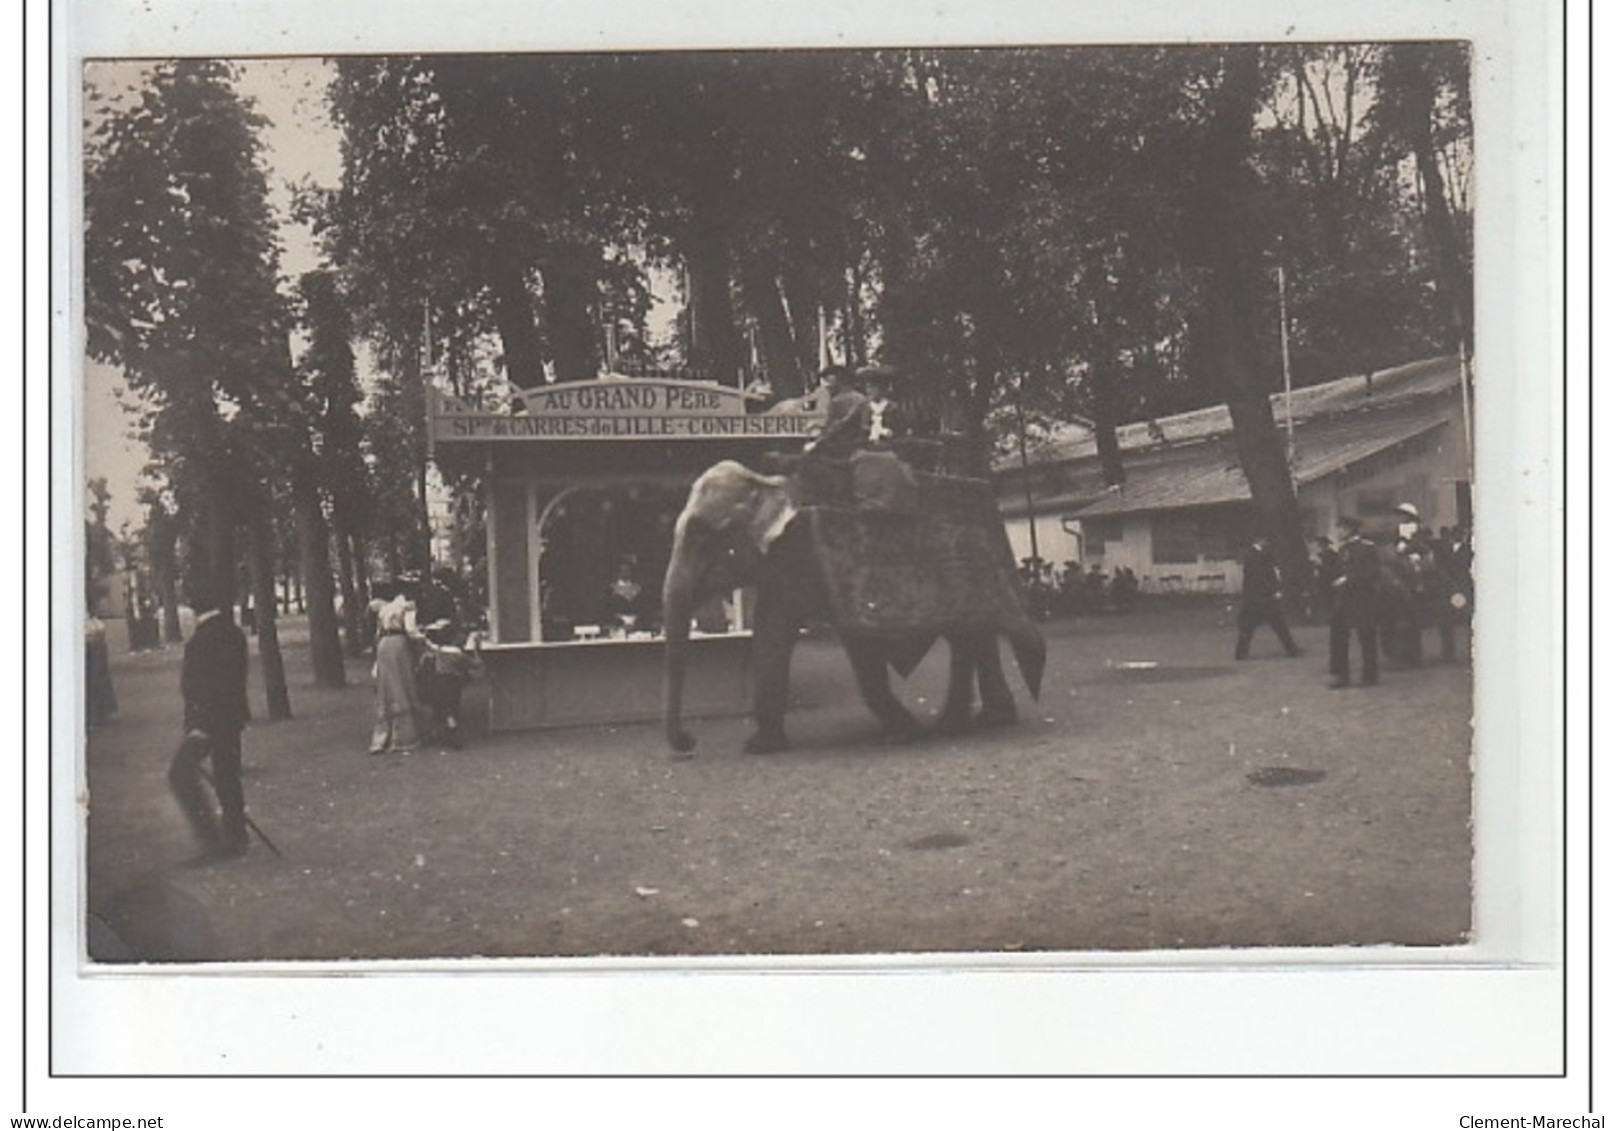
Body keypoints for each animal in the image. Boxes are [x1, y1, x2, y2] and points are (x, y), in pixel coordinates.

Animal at [658, 458, 1046, 759]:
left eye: (705, 538)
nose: (689, 743)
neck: (766, 482)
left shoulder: (817, 559)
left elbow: (859, 645)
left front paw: (902, 734)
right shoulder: (779, 568)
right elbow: (770, 634)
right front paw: (761, 746)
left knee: (969, 637)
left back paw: (961, 725)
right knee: (973, 636)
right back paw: (982, 720)